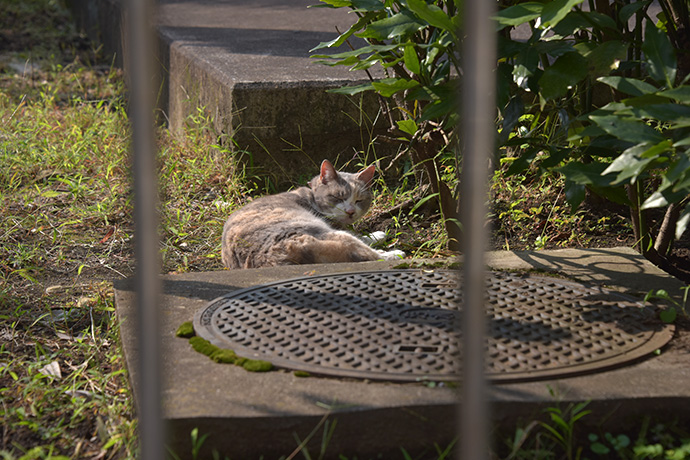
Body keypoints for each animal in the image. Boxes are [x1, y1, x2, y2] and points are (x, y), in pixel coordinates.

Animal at [220, 160, 404, 270]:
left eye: (359, 200)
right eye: (338, 197)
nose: (350, 211)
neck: (312, 197)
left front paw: (375, 235)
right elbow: (359, 237)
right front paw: (377, 237)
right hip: (319, 231)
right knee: (366, 253)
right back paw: (393, 254)